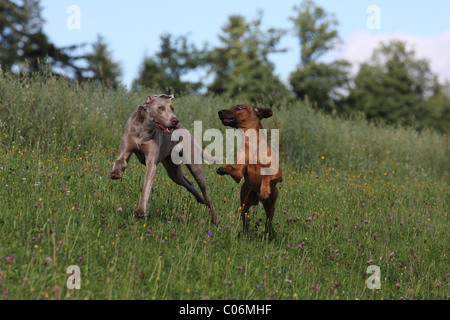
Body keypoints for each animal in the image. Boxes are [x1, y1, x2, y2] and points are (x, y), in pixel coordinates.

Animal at [111, 92, 219, 222]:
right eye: (160, 108)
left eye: (172, 108)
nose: (175, 120)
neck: (143, 129)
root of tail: (186, 130)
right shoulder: (125, 151)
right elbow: (119, 162)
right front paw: (115, 173)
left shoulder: (151, 164)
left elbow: (146, 187)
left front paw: (140, 211)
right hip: (173, 170)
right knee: (189, 183)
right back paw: (200, 200)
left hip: (194, 167)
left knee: (206, 193)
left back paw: (214, 217)